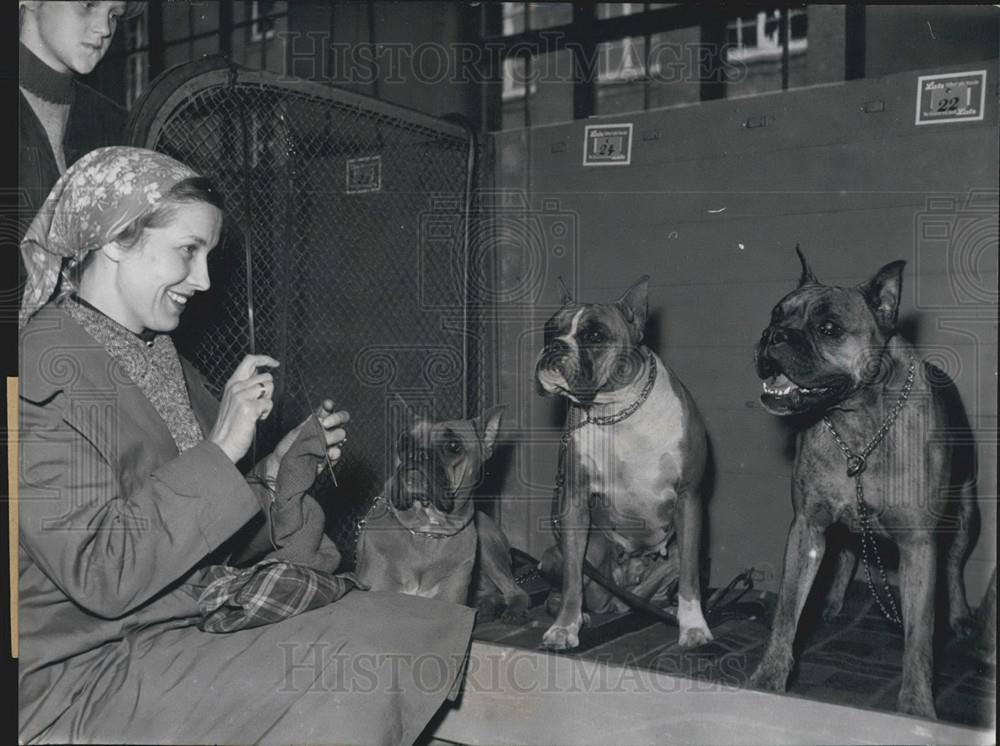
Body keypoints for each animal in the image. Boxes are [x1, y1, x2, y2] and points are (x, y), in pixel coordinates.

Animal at [356, 404, 536, 620]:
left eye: (453, 445)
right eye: (404, 442)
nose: (417, 454)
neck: (426, 532)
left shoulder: (450, 600)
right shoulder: (382, 591)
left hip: (489, 551)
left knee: (515, 591)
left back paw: (512, 610)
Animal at [536, 276, 716, 648]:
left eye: (594, 335)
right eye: (549, 330)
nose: (554, 347)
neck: (617, 411)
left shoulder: (689, 499)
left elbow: (690, 580)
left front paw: (694, 626)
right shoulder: (573, 503)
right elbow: (572, 578)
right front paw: (565, 627)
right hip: (558, 554)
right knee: (568, 591)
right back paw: (584, 614)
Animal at [752, 250, 976, 716]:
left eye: (829, 328)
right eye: (775, 314)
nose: (772, 335)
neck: (857, 425)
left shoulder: (919, 545)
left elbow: (919, 638)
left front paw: (916, 706)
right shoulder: (808, 528)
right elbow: (786, 611)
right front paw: (768, 679)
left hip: (966, 516)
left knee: (954, 565)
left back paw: (961, 616)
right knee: (847, 553)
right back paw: (832, 602)